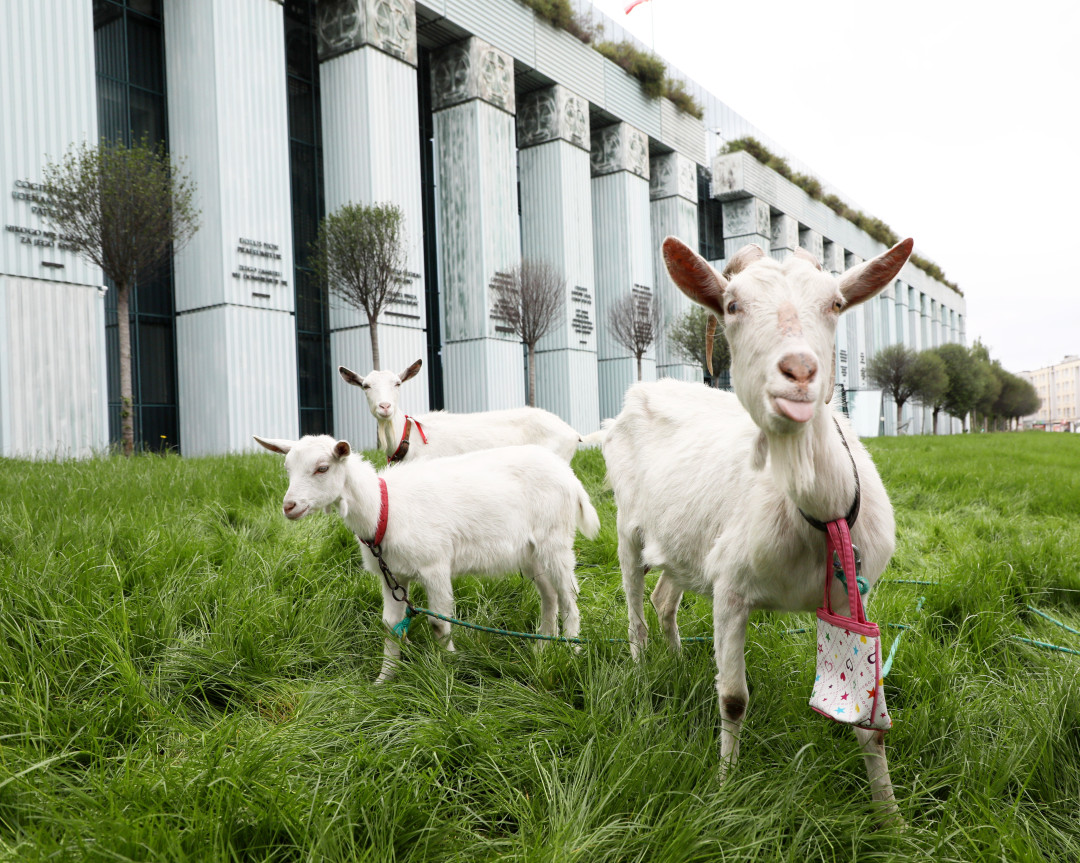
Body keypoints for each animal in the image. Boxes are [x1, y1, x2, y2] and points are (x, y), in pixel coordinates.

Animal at [257, 438, 604, 682]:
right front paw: (384, 679)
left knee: (569, 595)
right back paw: (543, 645)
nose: (289, 506)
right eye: (288, 469)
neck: (383, 508)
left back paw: (572, 649)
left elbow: (438, 622)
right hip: (530, 551)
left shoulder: (434, 565)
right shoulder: (392, 574)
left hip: (555, 539)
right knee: (549, 595)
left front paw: (447, 669)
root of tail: (569, 475)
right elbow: (390, 625)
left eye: (322, 468)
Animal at [604, 236, 915, 816]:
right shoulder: (731, 590)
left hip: (686, 541)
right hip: (627, 526)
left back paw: (678, 660)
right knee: (634, 602)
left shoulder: (853, 599)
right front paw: (724, 792)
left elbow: (872, 724)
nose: (799, 371)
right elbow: (732, 699)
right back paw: (640, 669)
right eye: (732, 305)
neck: (820, 513)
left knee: (664, 598)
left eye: (835, 303)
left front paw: (891, 817)